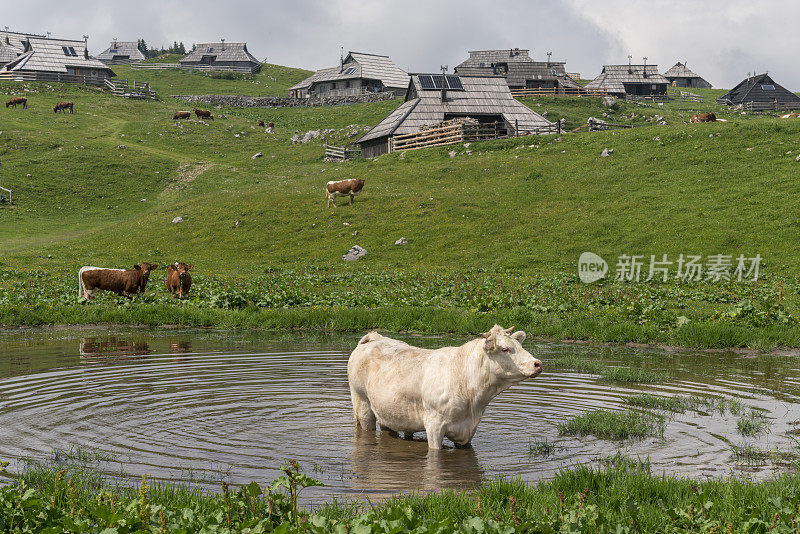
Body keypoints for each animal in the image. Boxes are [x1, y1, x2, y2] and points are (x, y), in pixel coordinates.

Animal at [346, 324, 540, 450]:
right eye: (506, 349)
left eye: (520, 345)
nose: (537, 363)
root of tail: (374, 337)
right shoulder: (434, 425)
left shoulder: (468, 431)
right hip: (362, 404)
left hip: (388, 410)